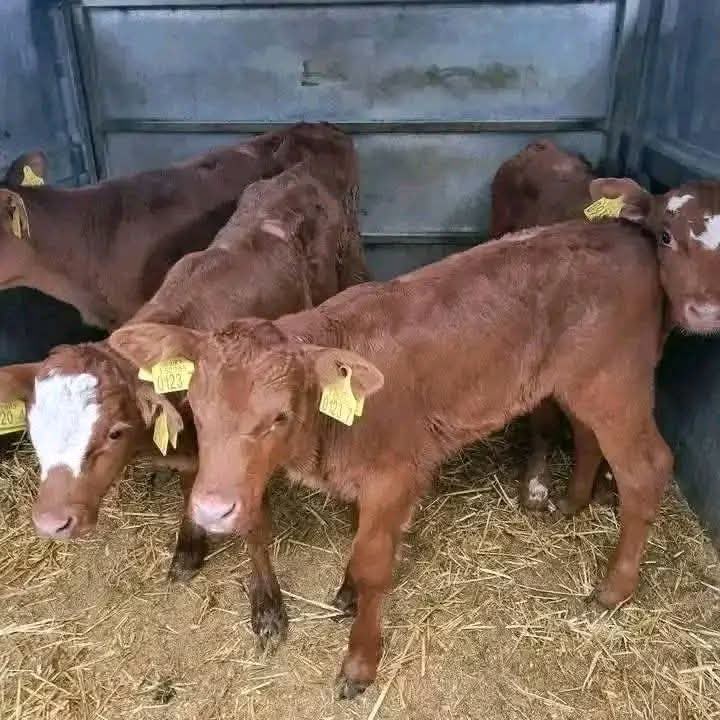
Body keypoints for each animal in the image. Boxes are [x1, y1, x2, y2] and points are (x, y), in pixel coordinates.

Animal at [107, 179, 720, 697]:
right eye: (198, 409)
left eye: (278, 417)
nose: (211, 510)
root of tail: (622, 232)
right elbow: (361, 541)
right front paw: (348, 593)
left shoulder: (395, 473)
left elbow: (375, 562)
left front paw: (359, 662)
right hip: (580, 383)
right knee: (591, 439)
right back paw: (572, 503)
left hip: (617, 381)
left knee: (646, 467)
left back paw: (613, 590)